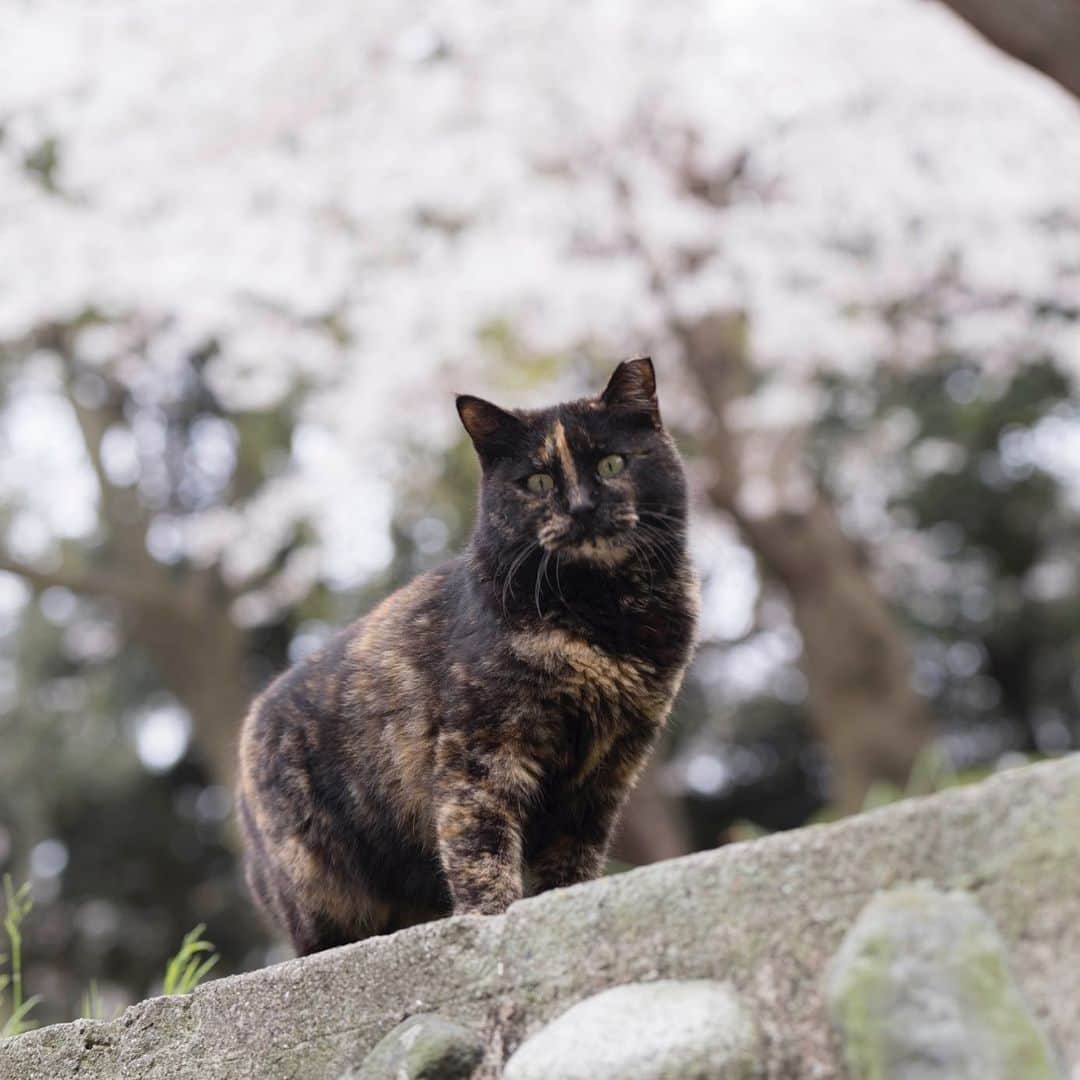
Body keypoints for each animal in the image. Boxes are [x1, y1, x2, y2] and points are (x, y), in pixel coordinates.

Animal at [236, 360, 699, 954]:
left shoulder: (607, 770)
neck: (606, 613)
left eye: (612, 462)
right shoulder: (479, 750)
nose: (581, 508)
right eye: (538, 481)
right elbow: (481, 847)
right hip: (322, 888)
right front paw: (490, 919)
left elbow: (573, 859)